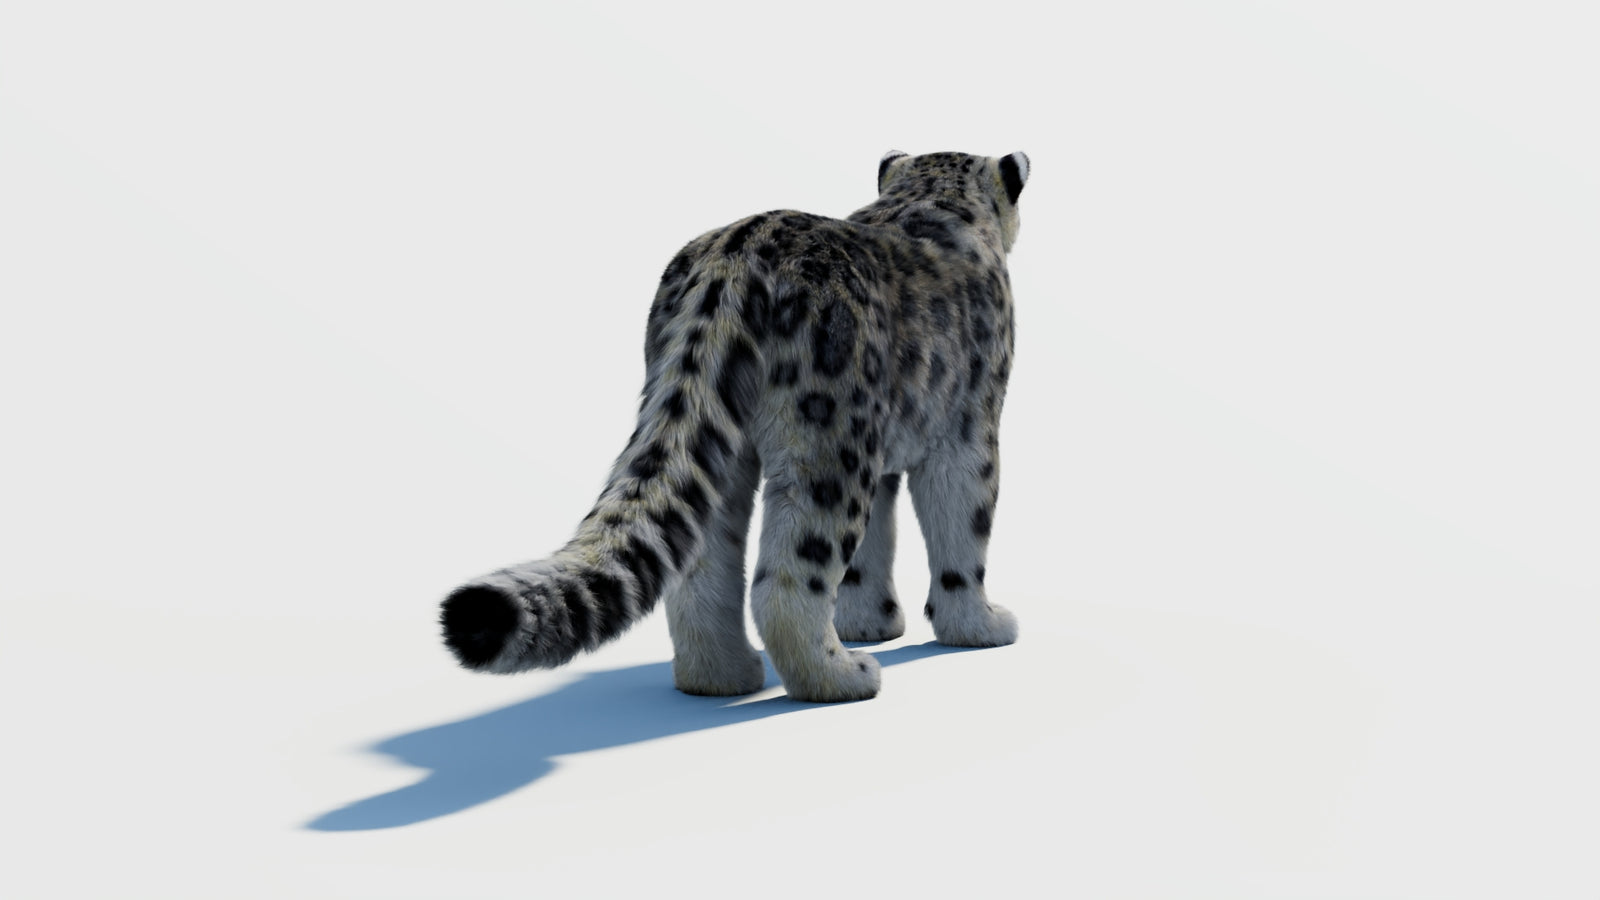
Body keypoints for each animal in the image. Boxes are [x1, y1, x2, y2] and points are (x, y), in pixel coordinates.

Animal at [439, 149, 1029, 702]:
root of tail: (731, 261)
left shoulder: (883, 451)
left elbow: (871, 549)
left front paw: (870, 623)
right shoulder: (970, 430)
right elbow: (963, 530)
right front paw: (979, 627)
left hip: (722, 446)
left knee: (701, 569)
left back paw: (722, 677)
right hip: (829, 441)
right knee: (790, 577)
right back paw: (841, 677)